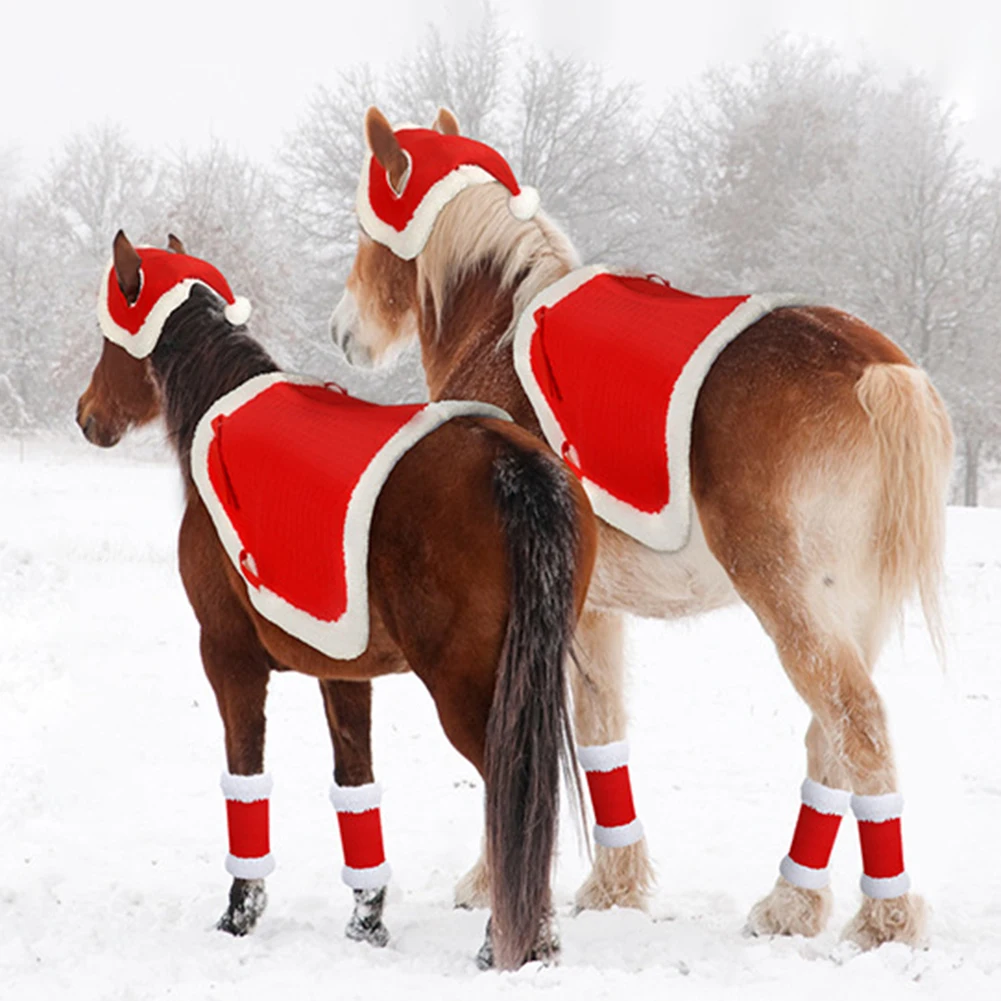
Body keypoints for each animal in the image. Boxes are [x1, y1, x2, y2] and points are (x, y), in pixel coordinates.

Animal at [75, 230, 597, 971]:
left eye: (106, 337)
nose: (87, 416)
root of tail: (509, 461)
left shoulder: (227, 657)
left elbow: (246, 776)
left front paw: (240, 911)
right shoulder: (343, 671)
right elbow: (355, 785)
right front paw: (367, 921)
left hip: (471, 690)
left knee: (513, 789)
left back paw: (512, 941)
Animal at [330, 106, 954, 950]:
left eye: (366, 230)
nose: (344, 332)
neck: (496, 337)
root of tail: (875, 368)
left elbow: (513, 737)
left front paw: (491, 881)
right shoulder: (593, 613)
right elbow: (601, 733)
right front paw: (614, 886)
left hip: (794, 605)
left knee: (856, 727)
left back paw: (884, 916)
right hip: (850, 613)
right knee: (828, 738)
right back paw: (791, 903)